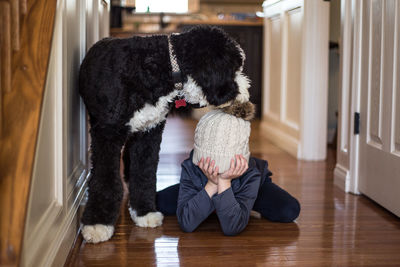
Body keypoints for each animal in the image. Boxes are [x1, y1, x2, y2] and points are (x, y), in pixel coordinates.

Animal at [79, 26, 250, 243]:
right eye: (233, 68)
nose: (246, 91)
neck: (163, 66)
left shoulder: (149, 133)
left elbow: (145, 173)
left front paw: (144, 212)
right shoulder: (107, 134)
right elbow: (105, 179)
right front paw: (97, 224)